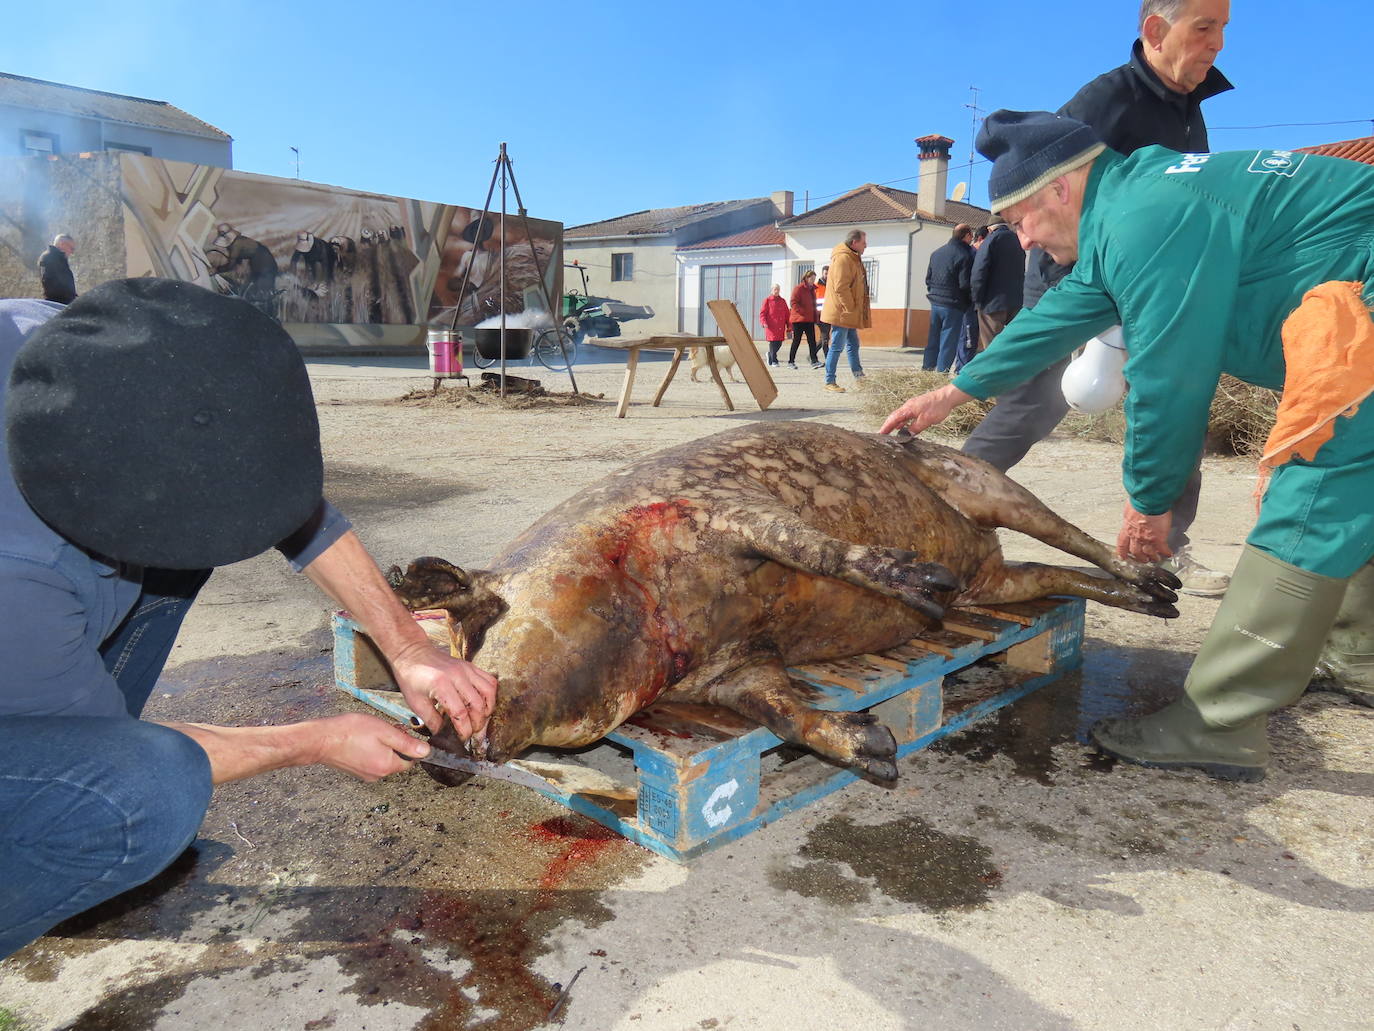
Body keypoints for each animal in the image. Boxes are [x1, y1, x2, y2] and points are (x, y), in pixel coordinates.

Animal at [390, 420, 1181, 780]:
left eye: (474, 617)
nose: (430, 736)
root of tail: (981, 553)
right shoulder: (736, 671)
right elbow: (783, 712)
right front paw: (878, 753)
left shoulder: (727, 511)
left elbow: (815, 548)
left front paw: (921, 583)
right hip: (1001, 577)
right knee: (1042, 571)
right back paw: (1146, 600)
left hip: (981, 479)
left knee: (1066, 533)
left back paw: (1159, 585)